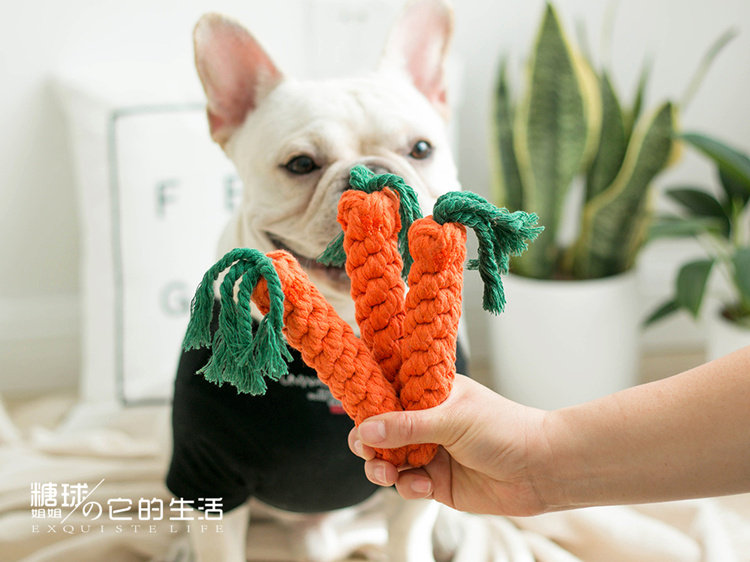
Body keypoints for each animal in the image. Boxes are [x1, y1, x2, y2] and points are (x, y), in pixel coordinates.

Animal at [166, 1, 467, 560]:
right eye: (301, 164)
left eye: (421, 148)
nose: (374, 175)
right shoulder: (207, 478)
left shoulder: (414, 479)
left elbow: (409, 535)